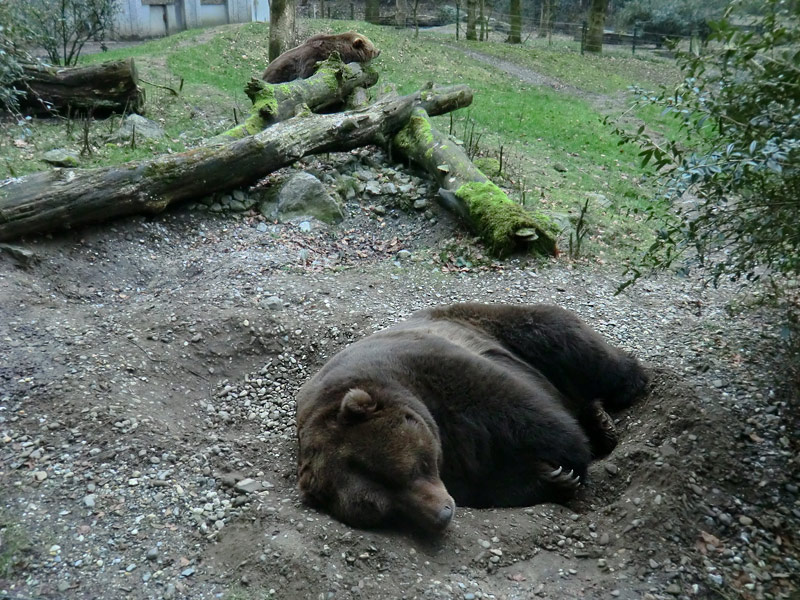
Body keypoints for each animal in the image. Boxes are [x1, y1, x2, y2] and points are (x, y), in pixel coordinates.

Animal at [296, 302, 648, 532]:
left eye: (412, 468)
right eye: (385, 511)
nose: (442, 514)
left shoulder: (434, 369)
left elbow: (514, 405)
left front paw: (571, 457)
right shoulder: (458, 467)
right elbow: (492, 482)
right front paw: (554, 478)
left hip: (495, 323)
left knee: (565, 341)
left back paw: (622, 395)